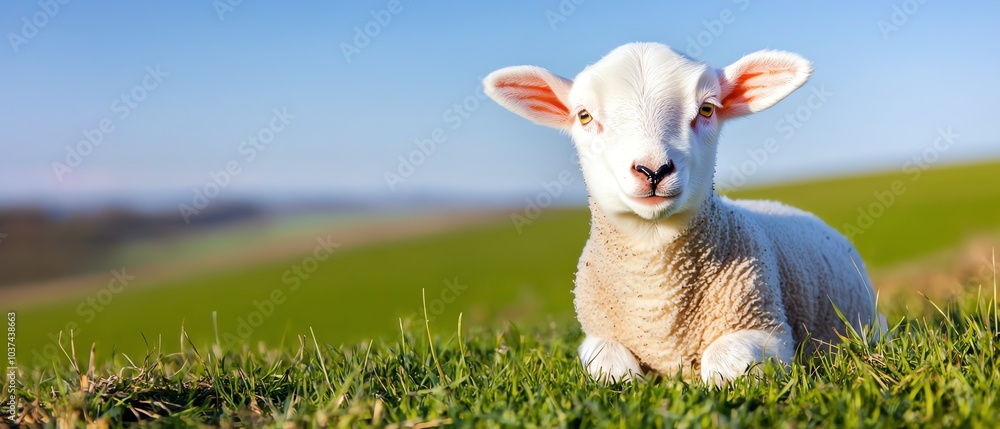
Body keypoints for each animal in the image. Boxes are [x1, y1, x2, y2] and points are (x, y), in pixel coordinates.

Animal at [483, 42, 884, 385]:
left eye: (706, 109)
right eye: (584, 116)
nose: (653, 170)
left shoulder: (768, 328)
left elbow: (723, 364)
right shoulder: (597, 335)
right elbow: (612, 370)